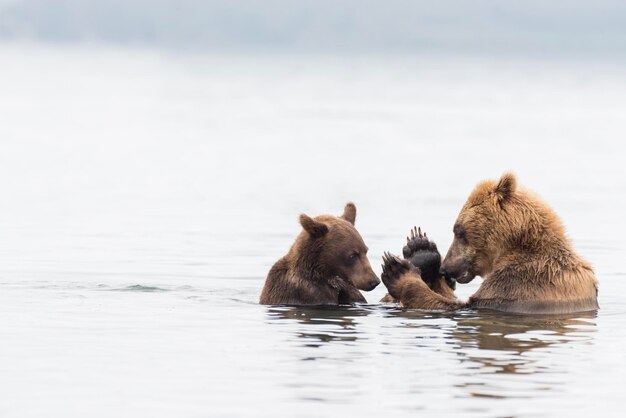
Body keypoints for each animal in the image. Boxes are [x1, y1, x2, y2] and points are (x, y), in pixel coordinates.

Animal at [378, 172, 596, 314]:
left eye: (458, 231)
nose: (445, 269)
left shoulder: (517, 284)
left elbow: (457, 305)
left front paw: (399, 272)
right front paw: (421, 251)